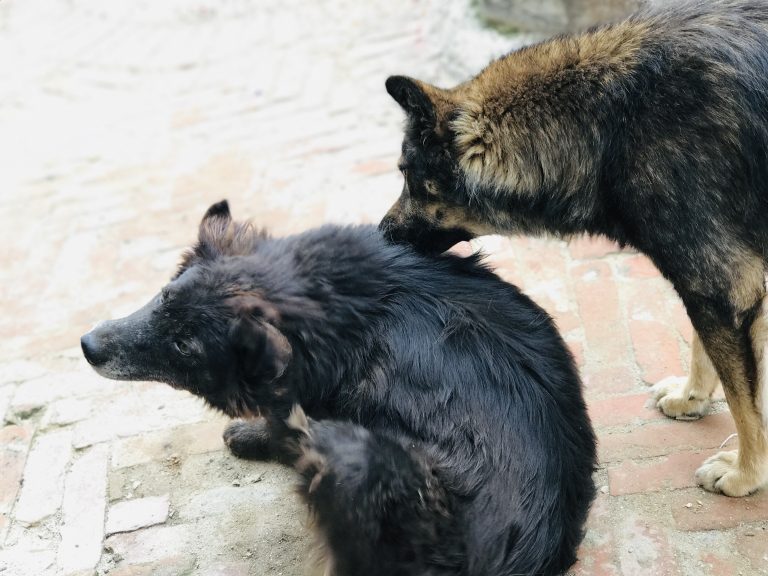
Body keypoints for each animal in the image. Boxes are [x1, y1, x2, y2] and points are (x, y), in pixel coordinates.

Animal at [81, 201, 596, 576]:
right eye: (163, 297)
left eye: (185, 346)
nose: (87, 345)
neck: (338, 308)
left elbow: (283, 426)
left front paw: (250, 437)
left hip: (356, 456)